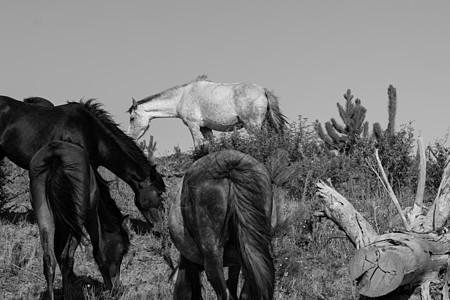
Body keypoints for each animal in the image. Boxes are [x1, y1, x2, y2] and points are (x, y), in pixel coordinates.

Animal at [29, 141, 130, 300]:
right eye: (122, 252)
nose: (116, 285)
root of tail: (55, 155)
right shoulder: (91, 216)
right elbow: (99, 253)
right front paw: (109, 289)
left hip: (46, 219)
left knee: (50, 260)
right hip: (78, 219)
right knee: (66, 257)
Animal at [126, 75, 288, 148]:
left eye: (132, 118)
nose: (130, 137)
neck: (182, 96)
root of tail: (263, 91)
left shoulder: (194, 126)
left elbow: (198, 146)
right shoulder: (205, 128)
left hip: (252, 126)